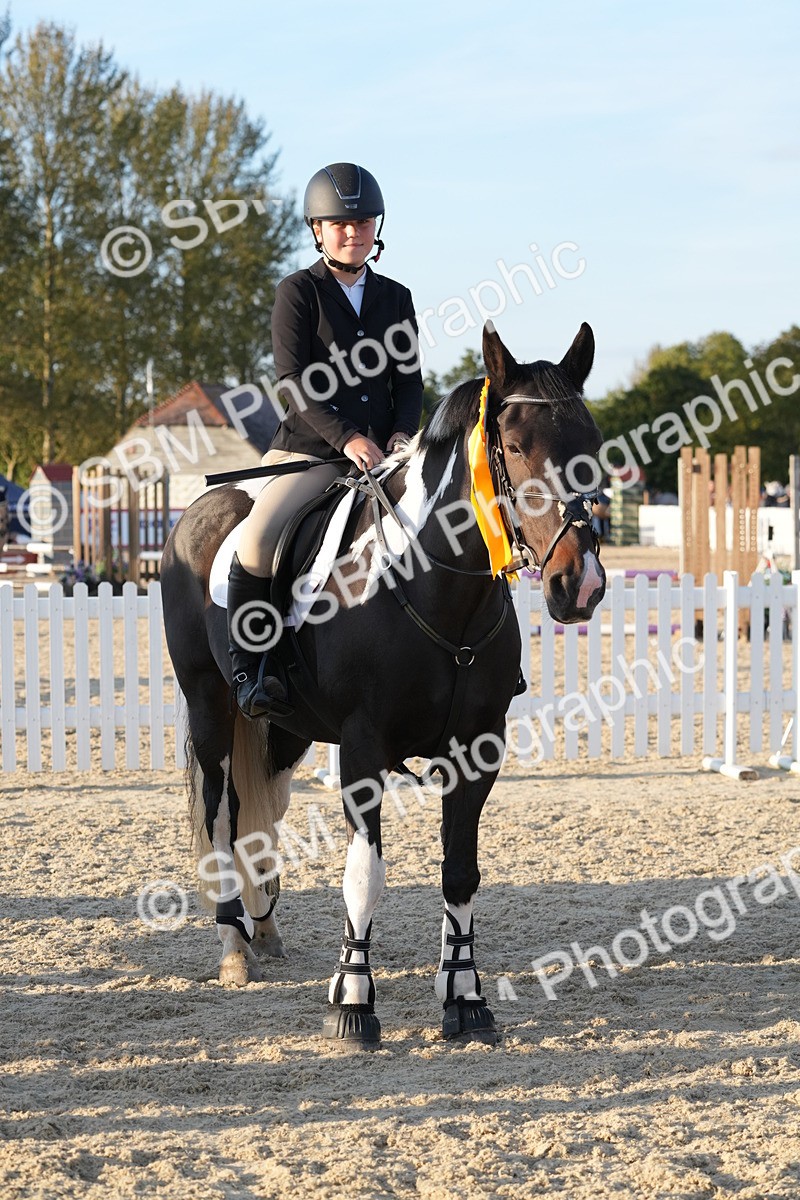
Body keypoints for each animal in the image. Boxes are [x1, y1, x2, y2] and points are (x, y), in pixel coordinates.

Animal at [160, 321, 606, 1050]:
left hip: (282, 730)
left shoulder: (476, 751)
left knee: (261, 814)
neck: (436, 586)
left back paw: (264, 929)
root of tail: (202, 508)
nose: (581, 585)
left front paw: (466, 999)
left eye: (592, 446)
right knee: (220, 812)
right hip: (210, 706)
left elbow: (461, 872)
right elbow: (364, 877)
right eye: (514, 447)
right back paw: (233, 945)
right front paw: (353, 1003)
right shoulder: (363, 749)